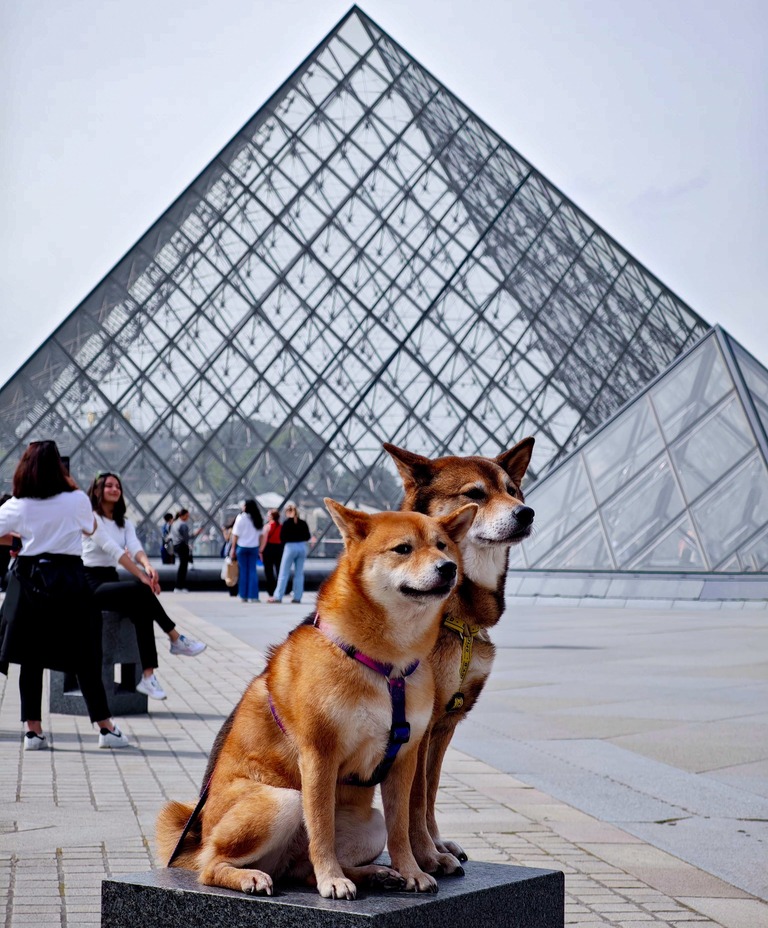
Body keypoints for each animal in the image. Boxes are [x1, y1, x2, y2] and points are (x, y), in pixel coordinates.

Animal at [157, 500, 476, 900]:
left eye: (442, 546)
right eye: (403, 548)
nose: (448, 568)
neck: (387, 665)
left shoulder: (404, 758)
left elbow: (401, 828)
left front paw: (411, 871)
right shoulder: (319, 754)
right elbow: (321, 827)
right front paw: (333, 879)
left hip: (369, 824)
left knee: (303, 869)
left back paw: (374, 874)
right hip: (281, 800)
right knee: (212, 865)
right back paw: (250, 877)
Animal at [382, 438, 536, 872]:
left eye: (513, 490)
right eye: (474, 495)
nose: (526, 512)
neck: (459, 619)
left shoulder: (445, 723)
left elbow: (430, 792)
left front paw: (435, 844)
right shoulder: (420, 724)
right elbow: (415, 797)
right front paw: (425, 856)